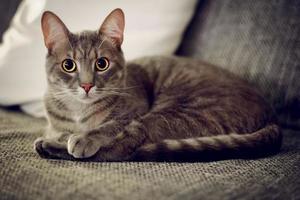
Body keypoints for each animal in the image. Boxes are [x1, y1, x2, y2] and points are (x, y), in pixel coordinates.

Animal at [34, 8, 282, 162]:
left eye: (101, 63)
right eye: (68, 65)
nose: (86, 85)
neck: (79, 114)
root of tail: (272, 115)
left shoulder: (134, 111)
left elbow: (108, 127)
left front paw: (79, 138)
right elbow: (59, 130)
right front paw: (60, 136)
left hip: (176, 112)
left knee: (123, 148)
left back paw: (50, 147)